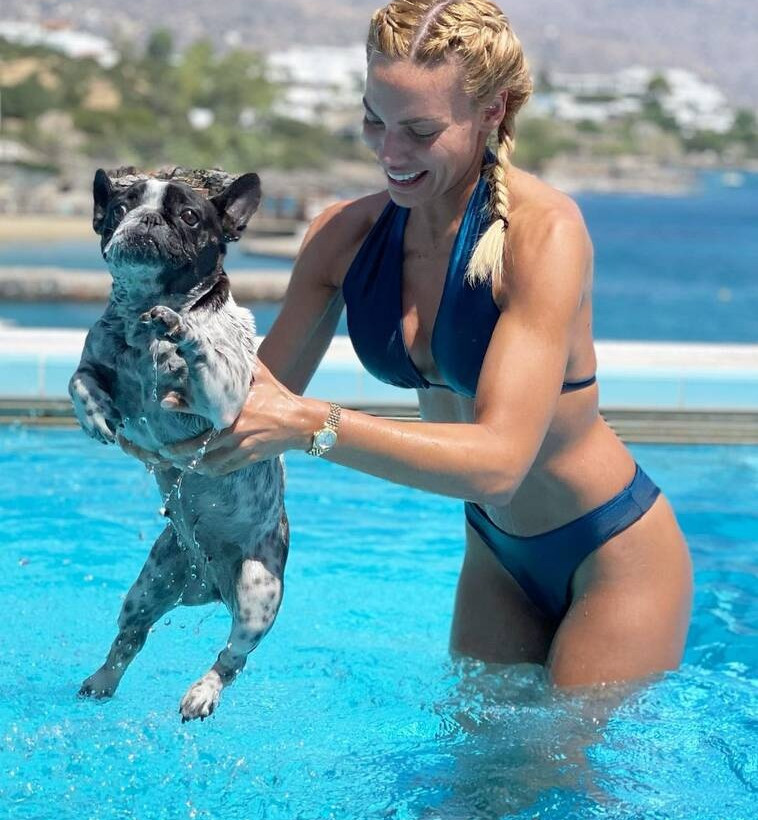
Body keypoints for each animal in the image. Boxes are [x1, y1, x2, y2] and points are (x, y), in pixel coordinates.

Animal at [69, 167, 288, 722]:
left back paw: (203, 692)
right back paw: (102, 681)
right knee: (131, 636)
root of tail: (208, 585)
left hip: (258, 592)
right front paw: (95, 415)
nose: (146, 219)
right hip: (151, 585)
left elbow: (201, 350)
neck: (141, 319)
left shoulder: (226, 397)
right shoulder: (93, 360)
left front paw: (180, 326)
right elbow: (79, 380)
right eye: (120, 207)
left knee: (233, 655)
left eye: (189, 215)